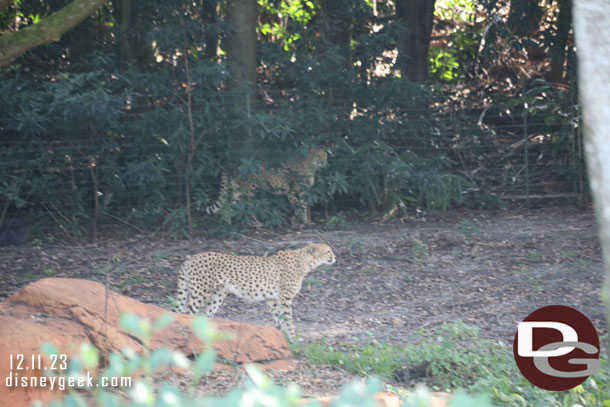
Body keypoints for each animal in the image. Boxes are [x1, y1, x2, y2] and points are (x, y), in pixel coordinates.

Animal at [173, 242, 334, 342]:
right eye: (328, 251)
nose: (334, 257)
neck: (304, 261)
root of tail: (191, 257)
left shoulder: (272, 299)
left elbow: (279, 318)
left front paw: (280, 336)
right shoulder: (285, 298)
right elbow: (288, 319)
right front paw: (293, 338)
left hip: (218, 294)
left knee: (204, 315)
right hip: (200, 293)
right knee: (186, 314)